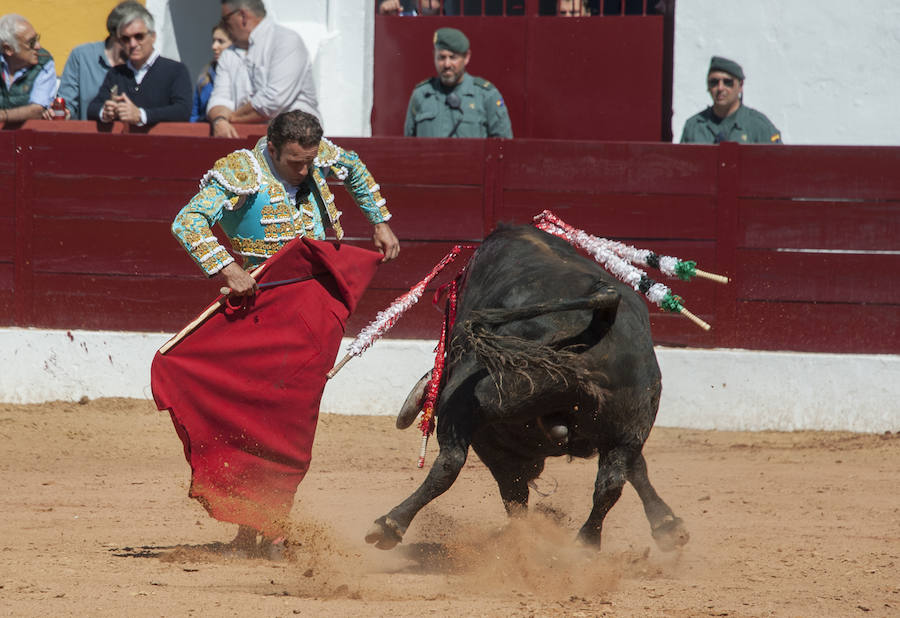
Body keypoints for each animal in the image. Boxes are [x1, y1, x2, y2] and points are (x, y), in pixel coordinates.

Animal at [366, 225, 688, 548]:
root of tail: (603, 313)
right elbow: (637, 468)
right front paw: (668, 525)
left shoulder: (493, 440)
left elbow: (511, 490)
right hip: (633, 415)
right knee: (611, 482)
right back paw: (586, 543)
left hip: (481, 399)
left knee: (452, 463)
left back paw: (390, 524)